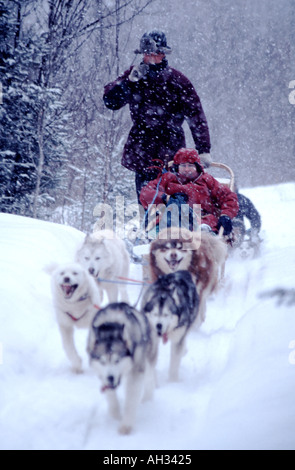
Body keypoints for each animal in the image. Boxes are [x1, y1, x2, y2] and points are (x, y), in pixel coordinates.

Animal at [86, 302, 158, 436]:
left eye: (117, 360)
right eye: (102, 361)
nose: (110, 377)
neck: (110, 325)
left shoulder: (136, 373)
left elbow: (130, 400)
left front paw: (126, 425)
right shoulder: (102, 375)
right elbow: (111, 397)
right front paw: (116, 414)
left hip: (148, 360)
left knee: (149, 380)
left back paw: (147, 399)